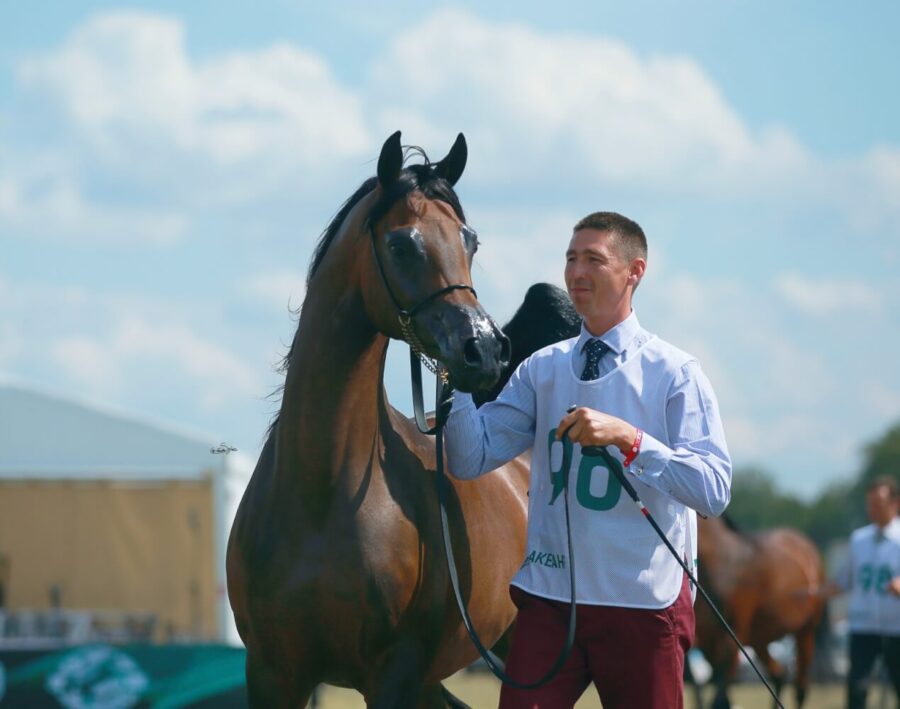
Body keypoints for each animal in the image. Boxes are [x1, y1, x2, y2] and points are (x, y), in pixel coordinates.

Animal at [227, 133, 536, 708]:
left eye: (470, 241)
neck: (322, 494)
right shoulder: (272, 674)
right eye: (401, 245)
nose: (484, 349)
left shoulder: (392, 676)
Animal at [692, 516, 828, 708]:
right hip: (759, 639)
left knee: (800, 688)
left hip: (805, 631)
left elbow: (720, 699)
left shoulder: (731, 635)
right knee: (779, 675)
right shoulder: (706, 640)